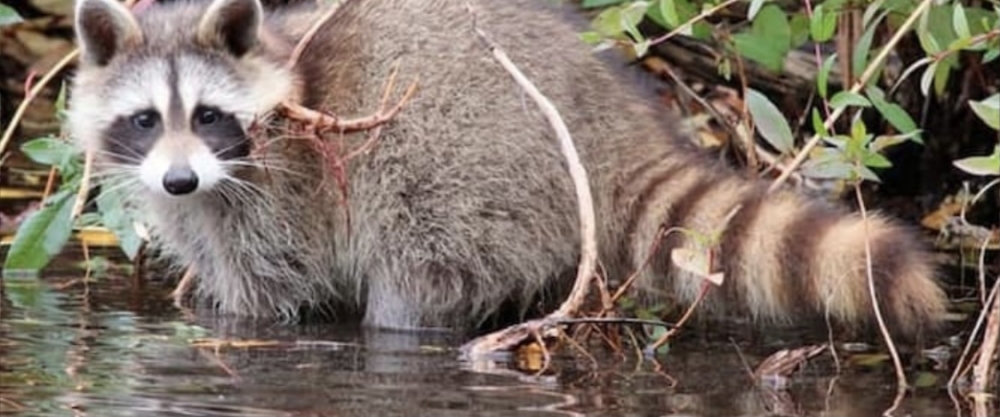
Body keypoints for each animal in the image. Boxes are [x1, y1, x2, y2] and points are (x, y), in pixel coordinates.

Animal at [68, 0, 944, 334]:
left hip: (466, 161)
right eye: (145, 121)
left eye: (208, 116)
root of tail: (604, 115)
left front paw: (230, 320)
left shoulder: (286, 189)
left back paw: (405, 316)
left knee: (420, 265)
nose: (179, 180)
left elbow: (272, 287)